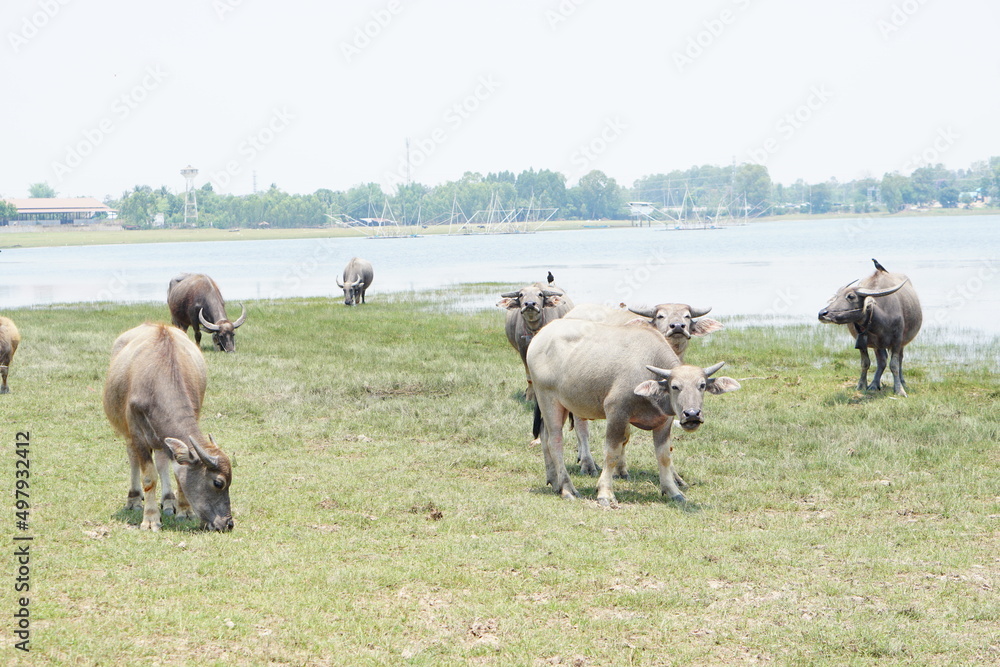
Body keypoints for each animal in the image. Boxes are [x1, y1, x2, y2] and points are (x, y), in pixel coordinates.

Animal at [103, 323, 234, 531]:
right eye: (218, 482)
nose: (228, 523)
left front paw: (184, 511)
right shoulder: (137, 434)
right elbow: (149, 476)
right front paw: (150, 518)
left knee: (162, 460)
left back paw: (168, 500)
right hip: (127, 432)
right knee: (132, 457)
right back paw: (134, 499)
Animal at [818, 258, 922, 396]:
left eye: (851, 296)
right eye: (836, 296)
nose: (822, 313)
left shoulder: (897, 341)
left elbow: (894, 365)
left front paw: (899, 390)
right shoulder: (862, 342)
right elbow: (865, 363)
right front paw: (861, 385)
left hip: (901, 343)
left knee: (899, 360)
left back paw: (902, 382)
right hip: (878, 346)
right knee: (882, 361)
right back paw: (874, 384)